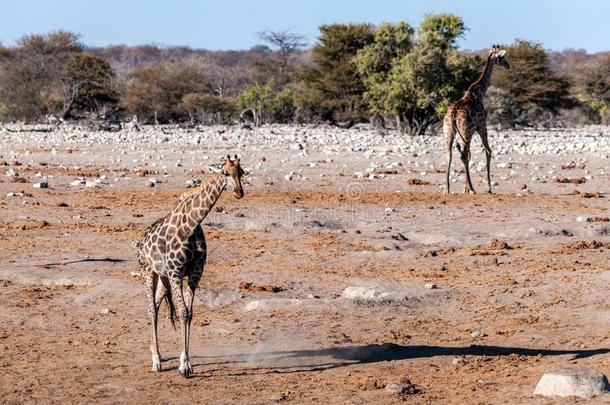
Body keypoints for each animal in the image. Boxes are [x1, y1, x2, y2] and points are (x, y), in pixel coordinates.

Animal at [137, 154, 243, 376]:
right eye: (225, 172)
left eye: (242, 172)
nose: (239, 192)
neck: (192, 224)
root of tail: (141, 241)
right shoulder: (177, 273)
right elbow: (183, 311)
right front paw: (184, 365)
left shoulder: (195, 274)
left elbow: (190, 313)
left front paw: (186, 362)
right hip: (148, 272)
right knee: (151, 309)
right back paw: (156, 361)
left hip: (164, 278)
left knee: (157, 305)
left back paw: (156, 352)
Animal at [442, 45, 508, 193]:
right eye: (502, 57)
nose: (508, 65)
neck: (479, 93)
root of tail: (452, 115)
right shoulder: (482, 127)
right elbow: (488, 151)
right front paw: (488, 187)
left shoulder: (471, 132)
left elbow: (469, 155)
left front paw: (465, 189)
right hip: (466, 132)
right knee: (464, 155)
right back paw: (472, 189)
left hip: (449, 133)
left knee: (450, 154)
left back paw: (446, 189)